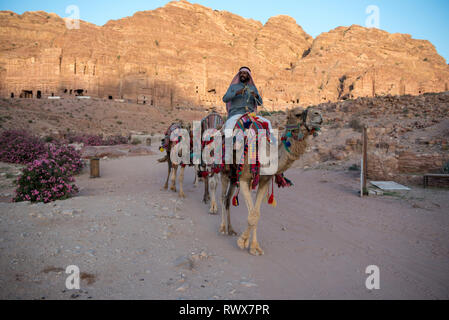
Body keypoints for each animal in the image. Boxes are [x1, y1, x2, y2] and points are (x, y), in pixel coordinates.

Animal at [218, 107, 320, 255]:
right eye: (298, 114)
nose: (319, 115)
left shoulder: (264, 182)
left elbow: (256, 214)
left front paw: (254, 247)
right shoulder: (244, 178)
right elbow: (252, 214)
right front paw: (242, 242)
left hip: (234, 177)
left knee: (227, 199)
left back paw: (231, 229)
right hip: (225, 170)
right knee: (222, 197)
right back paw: (222, 228)